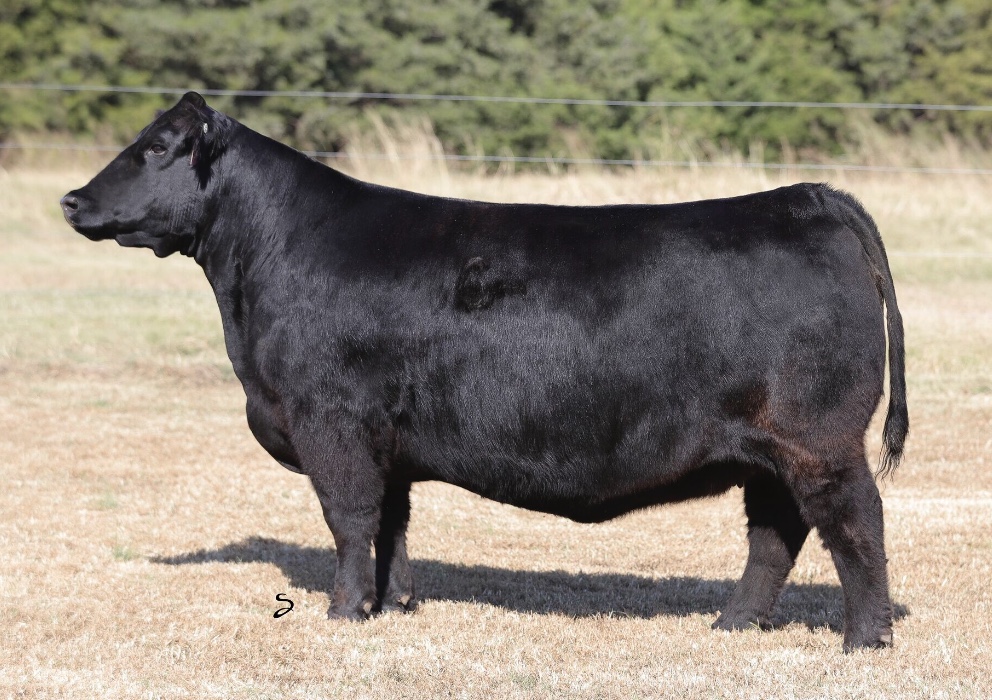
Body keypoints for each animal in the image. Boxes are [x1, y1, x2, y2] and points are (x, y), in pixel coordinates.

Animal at [60, 92, 908, 651]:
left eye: (155, 149)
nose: (71, 200)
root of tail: (809, 195)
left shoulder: (329, 420)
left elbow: (349, 518)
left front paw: (343, 611)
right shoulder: (387, 439)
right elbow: (392, 524)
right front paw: (392, 603)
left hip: (819, 439)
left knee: (854, 521)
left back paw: (863, 640)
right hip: (765, 449)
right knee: (775, 533)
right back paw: (733, 624)